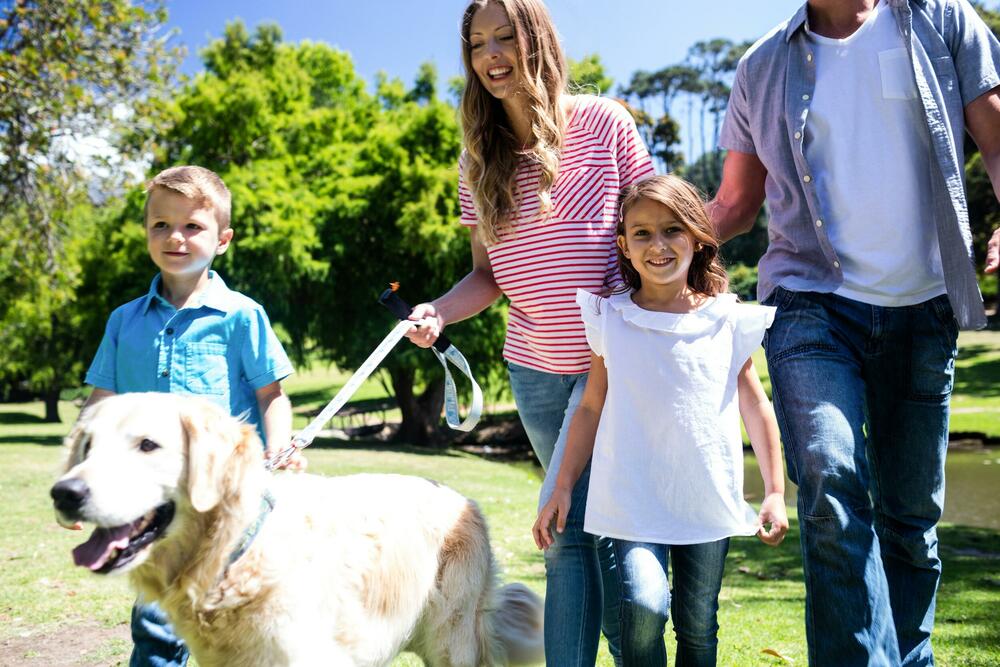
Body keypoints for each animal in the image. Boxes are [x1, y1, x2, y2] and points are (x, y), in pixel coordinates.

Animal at [50, 394, 544, 664]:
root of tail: (465, 500)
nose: (64, 493)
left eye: (148, 445)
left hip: (450, 639)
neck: (239, 550)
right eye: (87, 446)